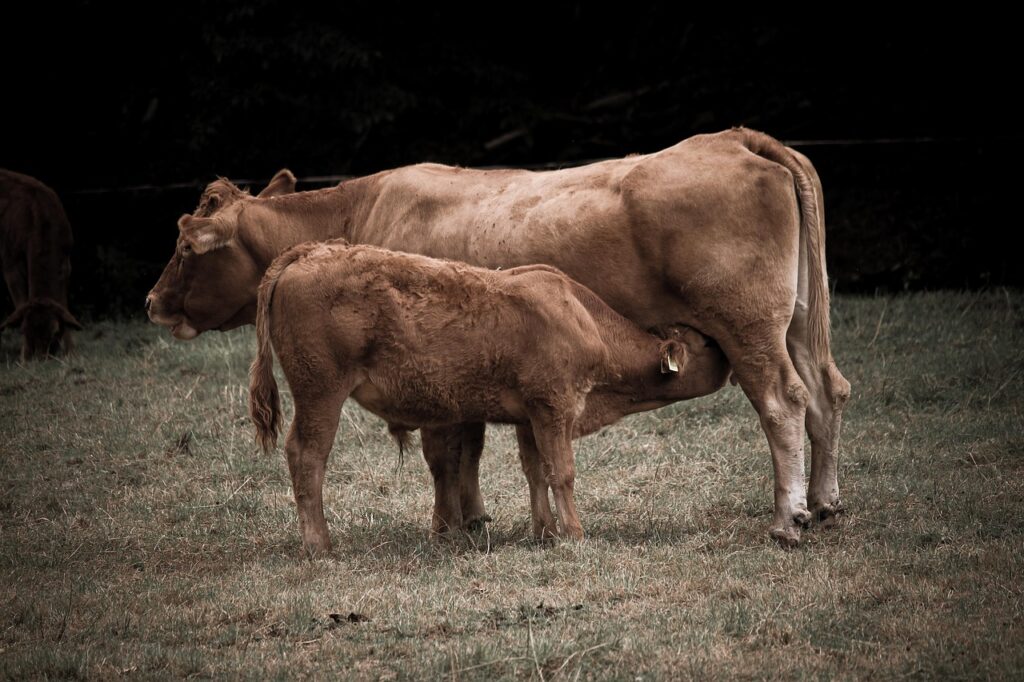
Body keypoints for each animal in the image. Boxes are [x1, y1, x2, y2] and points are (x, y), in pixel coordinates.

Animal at [0, 170, 82, 360]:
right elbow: (21, 302)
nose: (40, 359)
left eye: (55, 332)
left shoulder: (66, 263)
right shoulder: (10, 262)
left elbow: (63, 304)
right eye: (23, 331)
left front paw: (71, 352)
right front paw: (23, 357)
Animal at [248, 240, 731, 555]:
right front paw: (574, 534)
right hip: (320, 395)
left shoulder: (530, 418)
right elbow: (562, 472)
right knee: (307, 455)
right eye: (704, 344)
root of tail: (309, 252)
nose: (726, 355)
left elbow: (536, 473)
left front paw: (544, 532)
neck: (582, 319)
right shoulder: (555, 408)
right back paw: (320, 544)